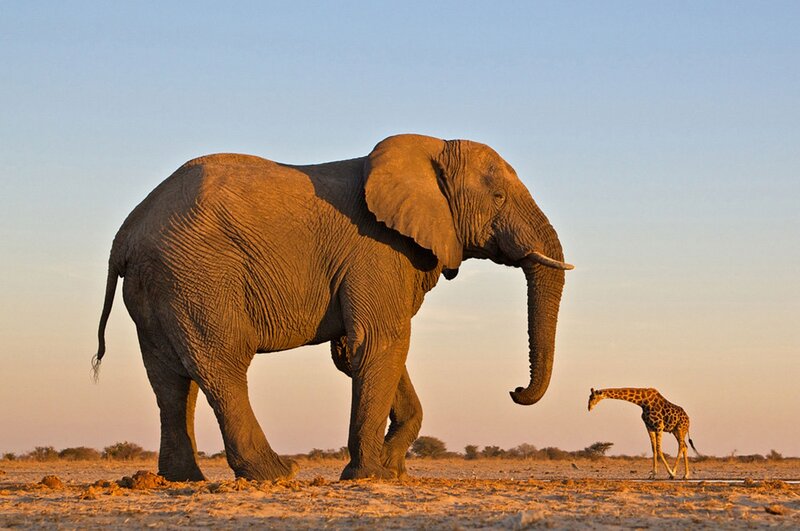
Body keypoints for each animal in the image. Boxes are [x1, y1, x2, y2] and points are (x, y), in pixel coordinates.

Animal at [94, 133, 573, 482]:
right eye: (498, 197)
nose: (514, 390)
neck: (430, 149)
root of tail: (125, 234)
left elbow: (364, 352)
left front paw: (392, 470)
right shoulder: (377, 250)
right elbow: (380, 343)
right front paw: (368, 475)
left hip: (159, 283)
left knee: (170, 380)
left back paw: (183, 480)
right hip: (199, 272)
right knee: (221, 364)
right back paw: (277, 474)